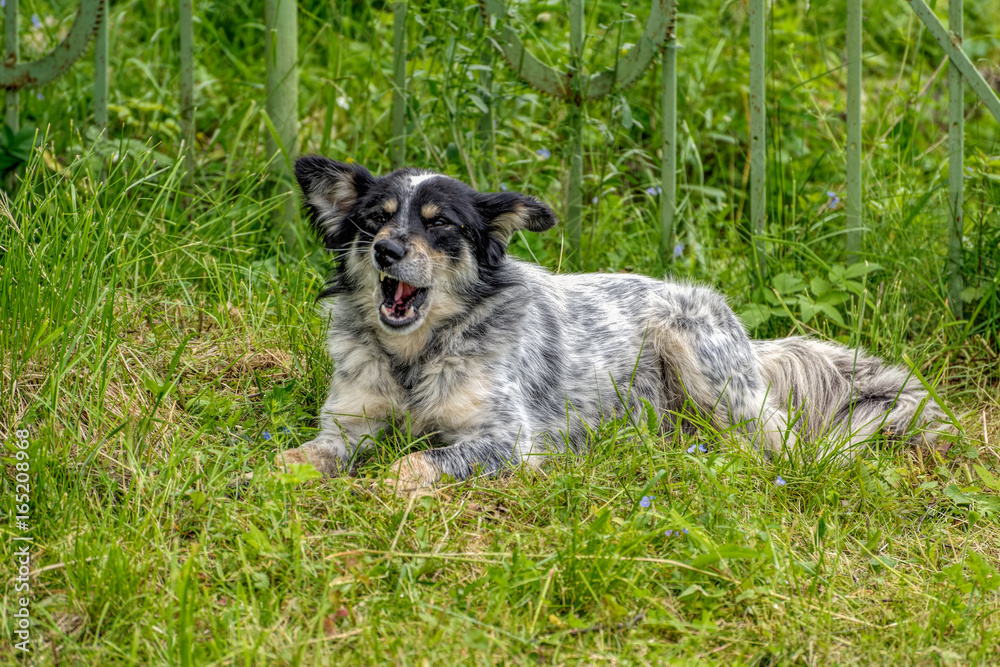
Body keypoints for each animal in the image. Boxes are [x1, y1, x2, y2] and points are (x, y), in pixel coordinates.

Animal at [274, 157, 952, 491]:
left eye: (441, 224)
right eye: (374, 220)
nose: (388, 251)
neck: (416, 353)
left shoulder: (507, 440)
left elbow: (412, 464)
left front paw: (381, 484)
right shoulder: (351, 423)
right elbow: (306, 453)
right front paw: (273, 475)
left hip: (703, 364)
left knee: (776, 439)